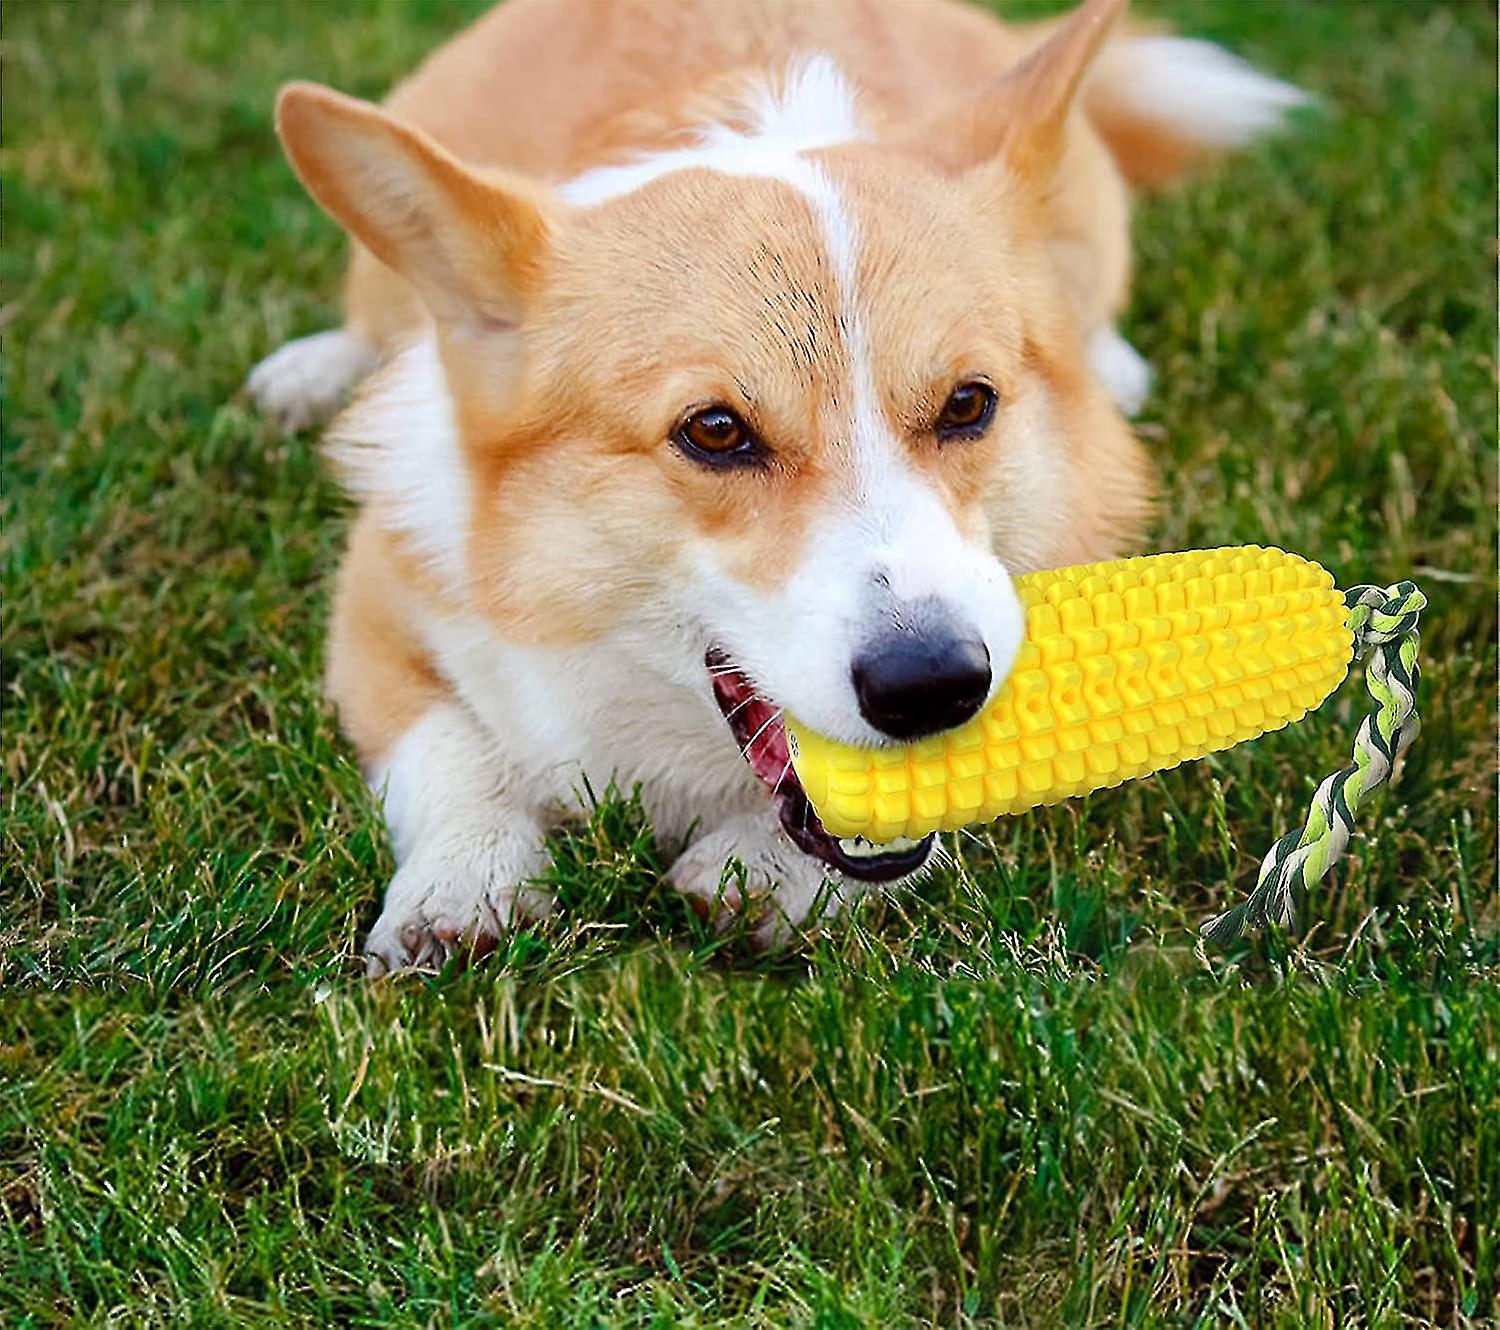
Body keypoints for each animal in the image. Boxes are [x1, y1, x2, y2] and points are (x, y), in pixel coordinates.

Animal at [246, 0, 1302, 971]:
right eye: (714, 431)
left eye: (969, 403)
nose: (932, 687)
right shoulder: (381, 601)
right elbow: (449, 748)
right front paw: (463, 885)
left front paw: (761, 871)